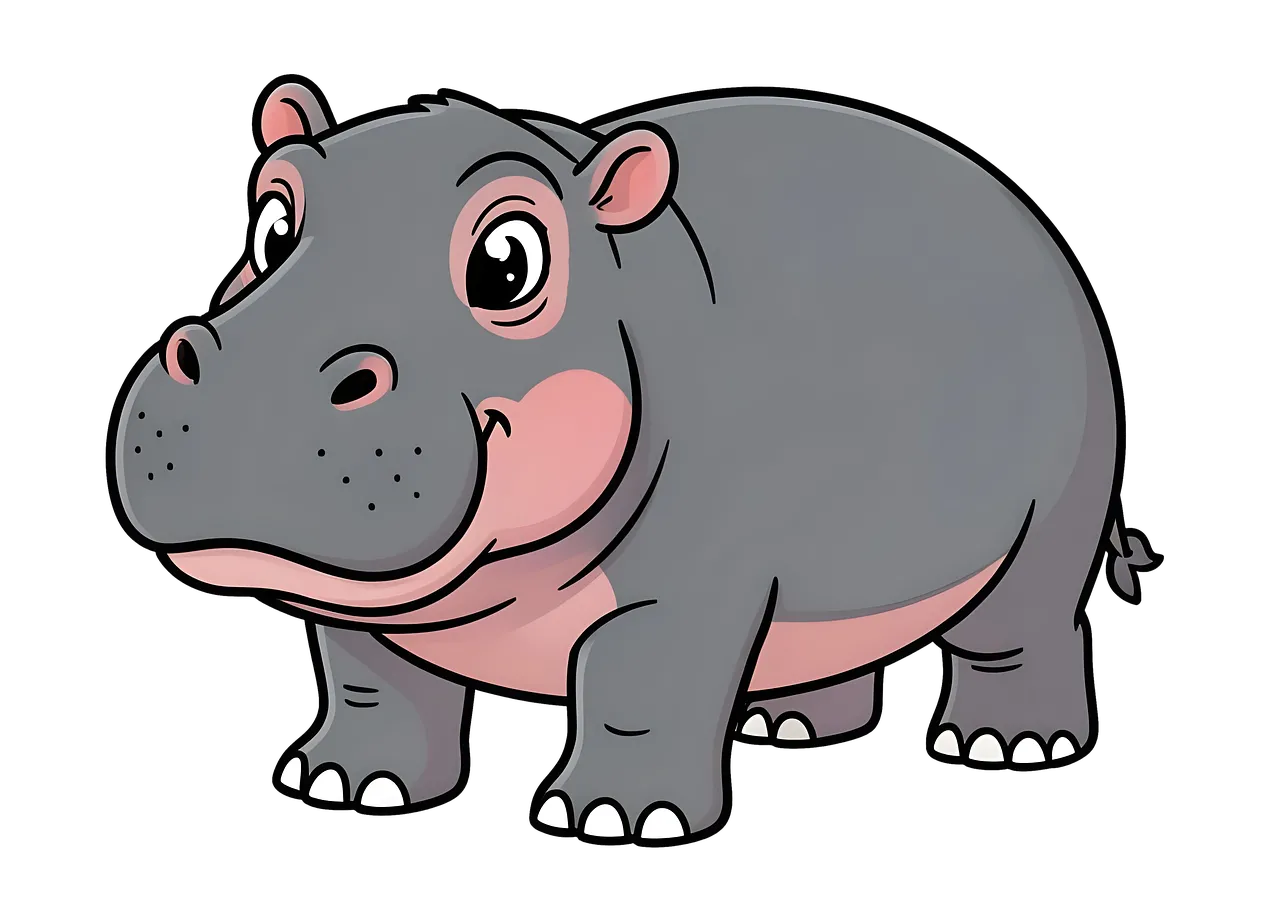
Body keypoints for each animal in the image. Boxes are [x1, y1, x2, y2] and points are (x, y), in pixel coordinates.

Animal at [105, 76, 1161, 843]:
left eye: (508, 260)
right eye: (271, 224)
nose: (245, 384)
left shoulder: (687, 583)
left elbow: (641, 680)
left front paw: (613, 816)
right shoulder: (359, 602)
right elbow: (370, 676)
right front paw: (345, 781)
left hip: (1052, 525)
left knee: (1020, 633)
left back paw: (1004, 743)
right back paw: (785, 724)